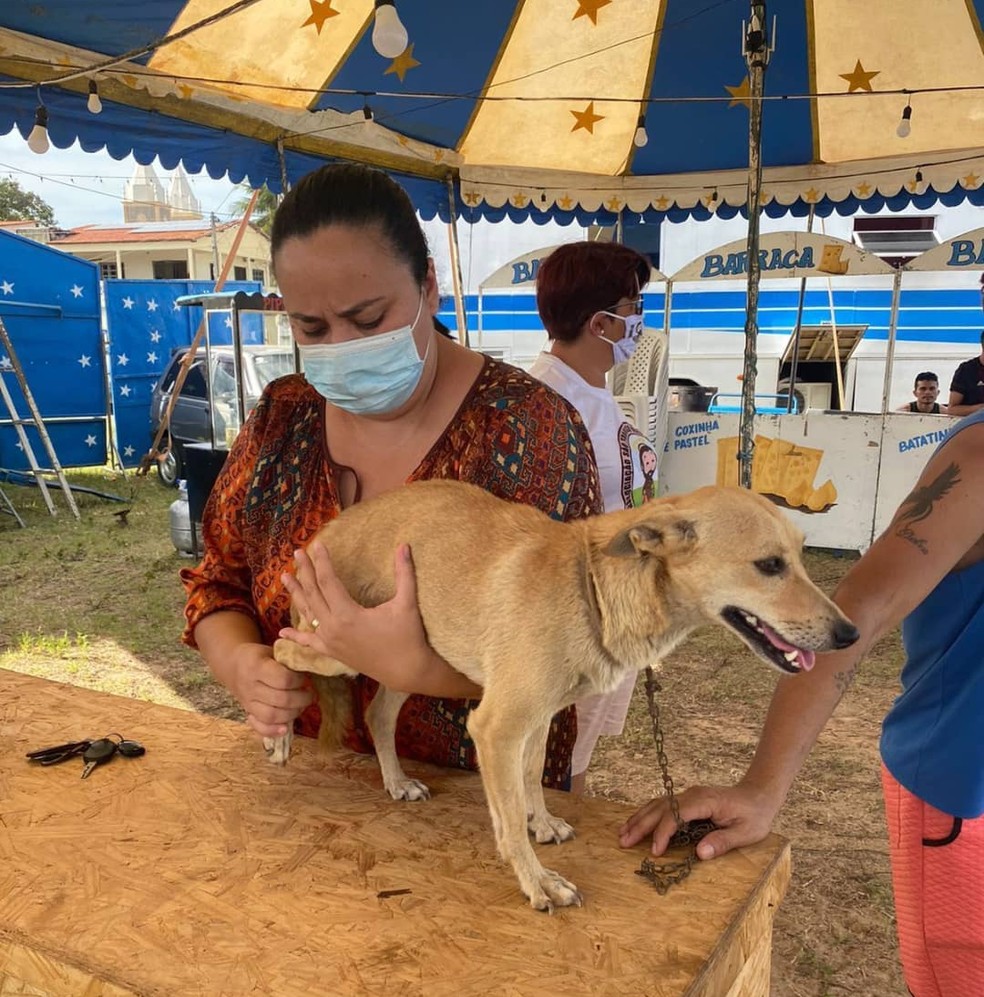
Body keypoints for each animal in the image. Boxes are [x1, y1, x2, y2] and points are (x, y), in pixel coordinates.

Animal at [268, 480, 852, 912]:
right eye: (770, 565)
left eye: (801, 556)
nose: (850, 634)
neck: (590, 587)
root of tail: (326, 532)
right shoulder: (497, 727)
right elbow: (508, 825)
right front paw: (538, 881)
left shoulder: (538, 716)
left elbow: (530, 778)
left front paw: (542, 821)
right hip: (336, 647)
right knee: (279, 648)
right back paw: (277, 735)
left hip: (397, 653)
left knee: (376, 713)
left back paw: (395, 781)